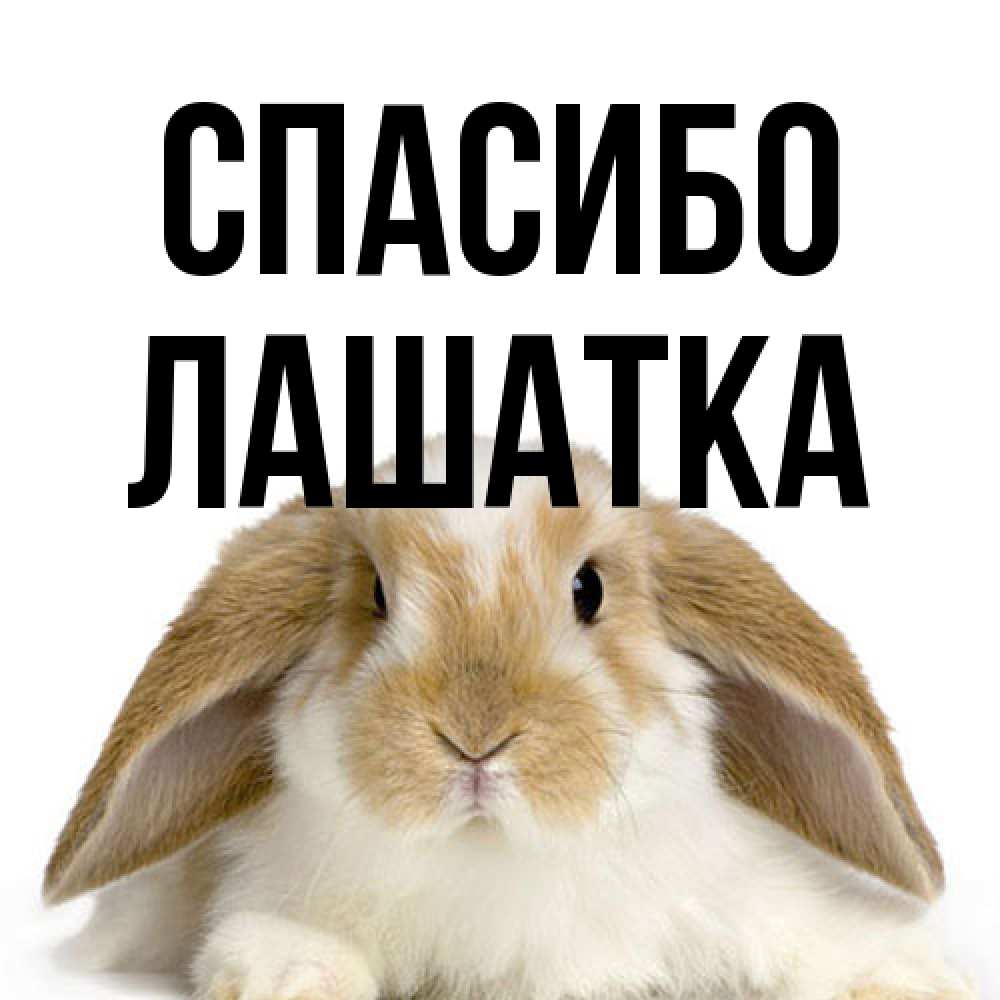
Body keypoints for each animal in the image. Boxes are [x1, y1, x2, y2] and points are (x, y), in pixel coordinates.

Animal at [45, 437, 975, 1000]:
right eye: (375, 596)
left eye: (589, 589)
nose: (475, 737)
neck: (495, 857)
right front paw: (290, 977)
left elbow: (817, 939)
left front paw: (909, 978)